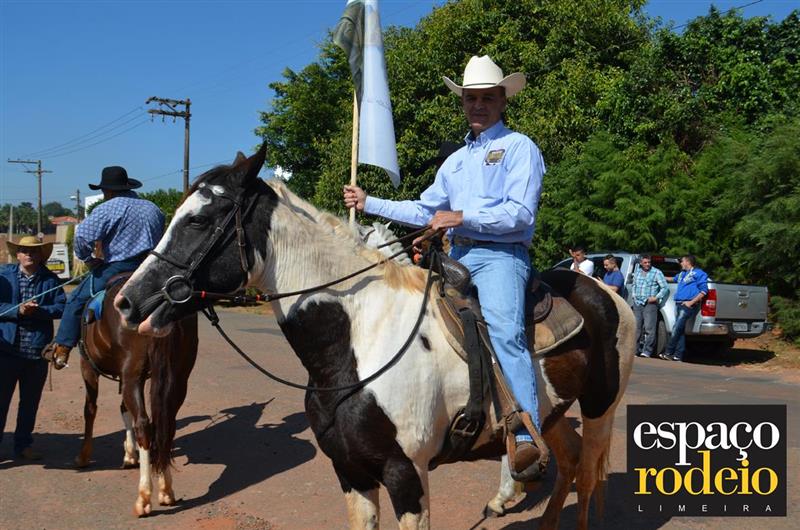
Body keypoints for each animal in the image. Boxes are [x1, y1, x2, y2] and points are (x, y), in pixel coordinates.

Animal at [75, 276, 198, 516]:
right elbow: (124, 410)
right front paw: (129, 454)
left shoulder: (88, 368)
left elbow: (90, 409)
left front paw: (84, 455)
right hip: (179, 377)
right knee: (166, 424)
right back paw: (166, 489)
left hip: (133, 373)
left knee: (143, 424)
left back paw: (144, 497)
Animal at [115, 146, 636, 529]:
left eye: (199, 220)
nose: (127, 302)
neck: (357, 342)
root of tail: (607, 292)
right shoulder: (350, 472)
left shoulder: (407, 475)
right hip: (553, 413)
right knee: (567, 462)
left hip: (600, 407)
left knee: (588, 473)